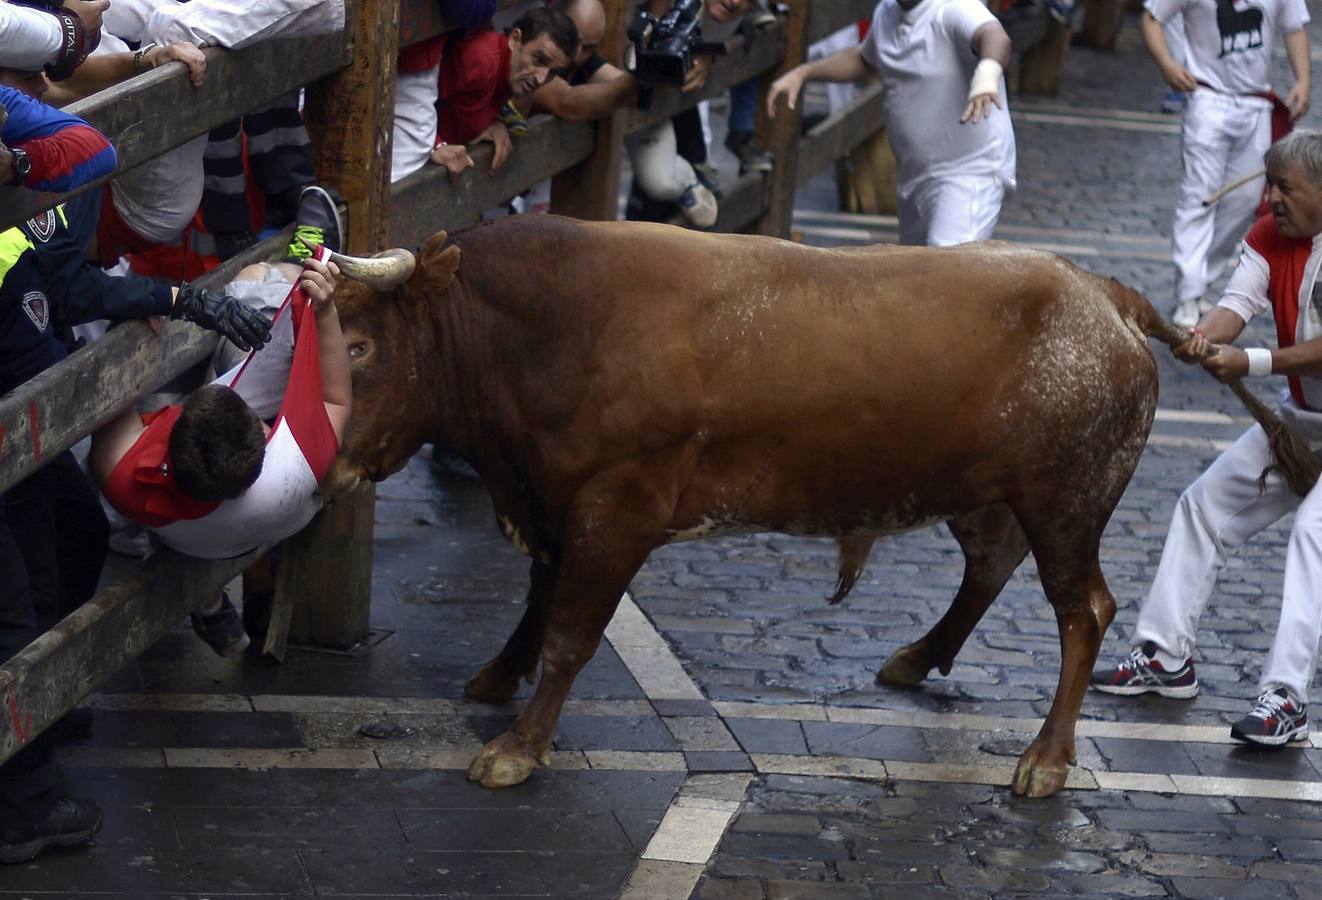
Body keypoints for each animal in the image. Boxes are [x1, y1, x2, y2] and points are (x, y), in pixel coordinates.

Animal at [325, 214, 1184, 798]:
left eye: (359, 345)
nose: (320, 459)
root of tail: (1102, 293)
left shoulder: (616, 508)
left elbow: (570, 632)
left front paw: (517, 748)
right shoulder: (553, 502)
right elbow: (539, 600)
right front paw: (500, 674)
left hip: (1067, 502)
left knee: (1083, 612)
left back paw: (1046, 760)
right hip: (990, 494)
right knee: (990, 567)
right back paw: (917, 658)